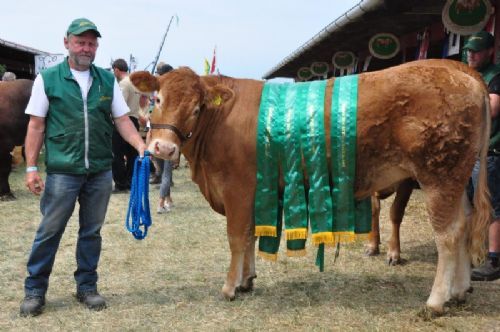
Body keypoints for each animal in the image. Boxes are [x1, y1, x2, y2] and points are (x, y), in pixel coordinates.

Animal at [130, 59, 492, 316]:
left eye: (196, 108)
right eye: (158, 98)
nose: (163, 148)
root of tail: (458, 67)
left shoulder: (238, 188)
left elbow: (236, 237)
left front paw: (230, 287)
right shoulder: (256, 193)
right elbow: (250, 236)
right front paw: (247, 280)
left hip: (438, 175)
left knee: (448, 235)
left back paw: (436, 301)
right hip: (458, 180)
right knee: (464, 225)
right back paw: (460, 291)